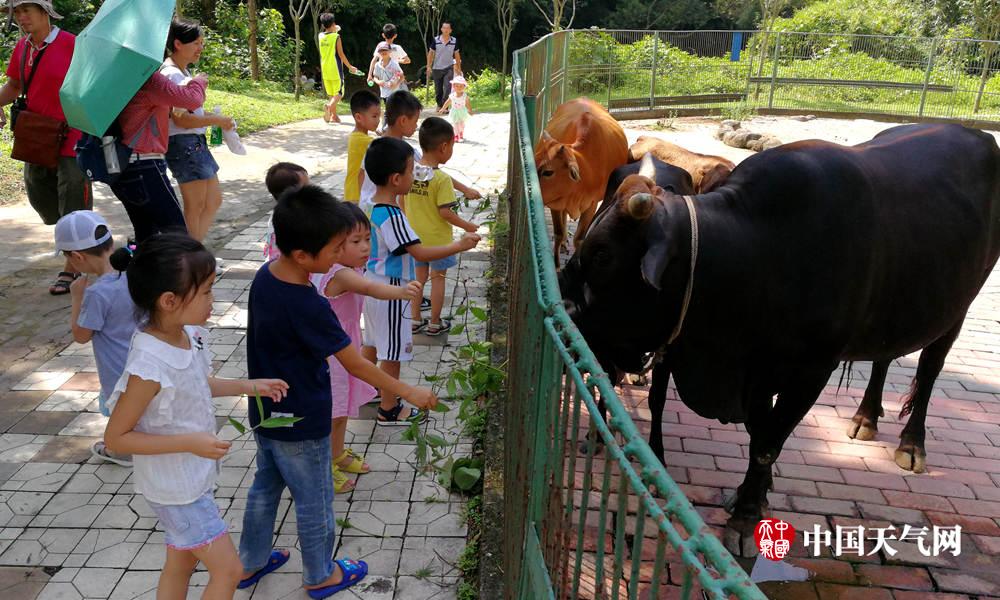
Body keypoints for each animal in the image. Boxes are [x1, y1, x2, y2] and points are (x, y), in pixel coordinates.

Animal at [536, 97, 628, 264]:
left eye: (548, 172)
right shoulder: (556, 202)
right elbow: (558, 233)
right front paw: (557, 265)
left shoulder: (591, 203)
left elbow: (579, 239)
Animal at [564, 123, 1000, 556]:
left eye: (603, 255)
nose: (566, 306)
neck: (755, 249)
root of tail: (978, 135)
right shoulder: (756, 368)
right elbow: (760, 432)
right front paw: (754, 494)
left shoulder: (811, 370)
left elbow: (768, 442)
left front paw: (746, 515)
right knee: (884, 358)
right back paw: (865, 417)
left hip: (958, 306)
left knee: (930, 368)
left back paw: (911, 444)